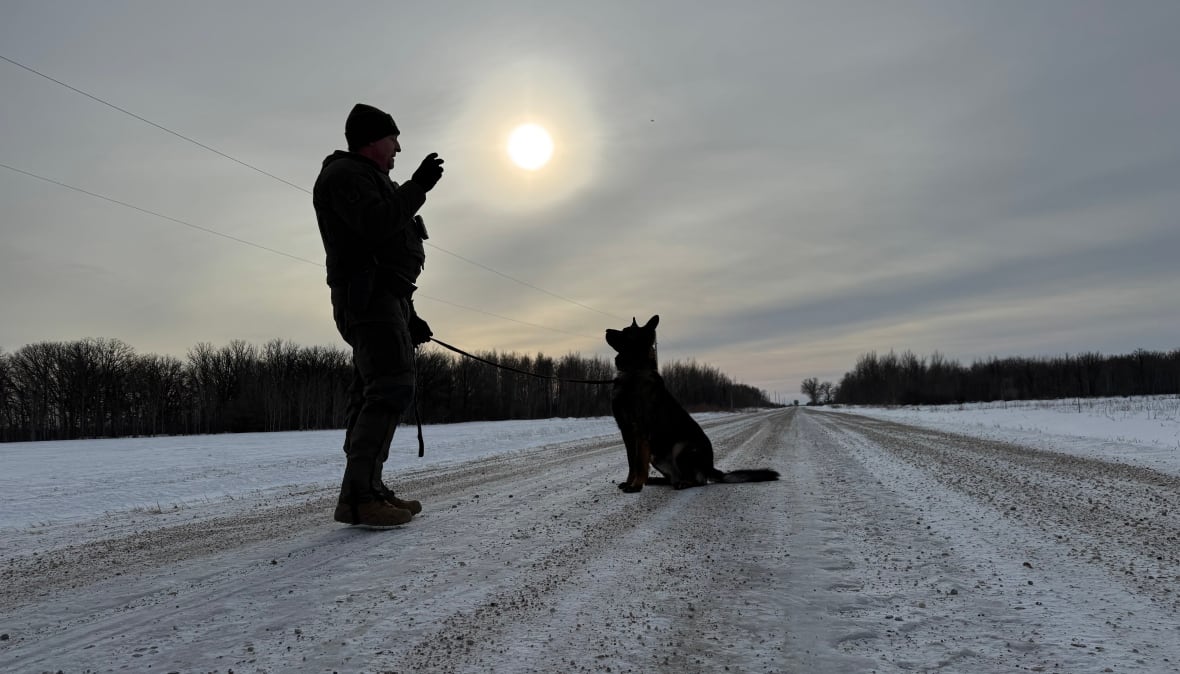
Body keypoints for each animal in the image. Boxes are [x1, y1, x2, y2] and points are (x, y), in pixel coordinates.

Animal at [604, 313, 778, 493]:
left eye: (626, 332)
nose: (606, 330)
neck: (634, 371)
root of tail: (710, 468)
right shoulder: (627, 432)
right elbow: (632, 463)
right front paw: (630, 483)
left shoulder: (641, 431)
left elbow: (639, 463)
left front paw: (636, 485)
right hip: (656, 456)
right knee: (674, 479)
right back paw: (657, 480)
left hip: (681, 449)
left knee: (697, 481)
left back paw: (681, 483)